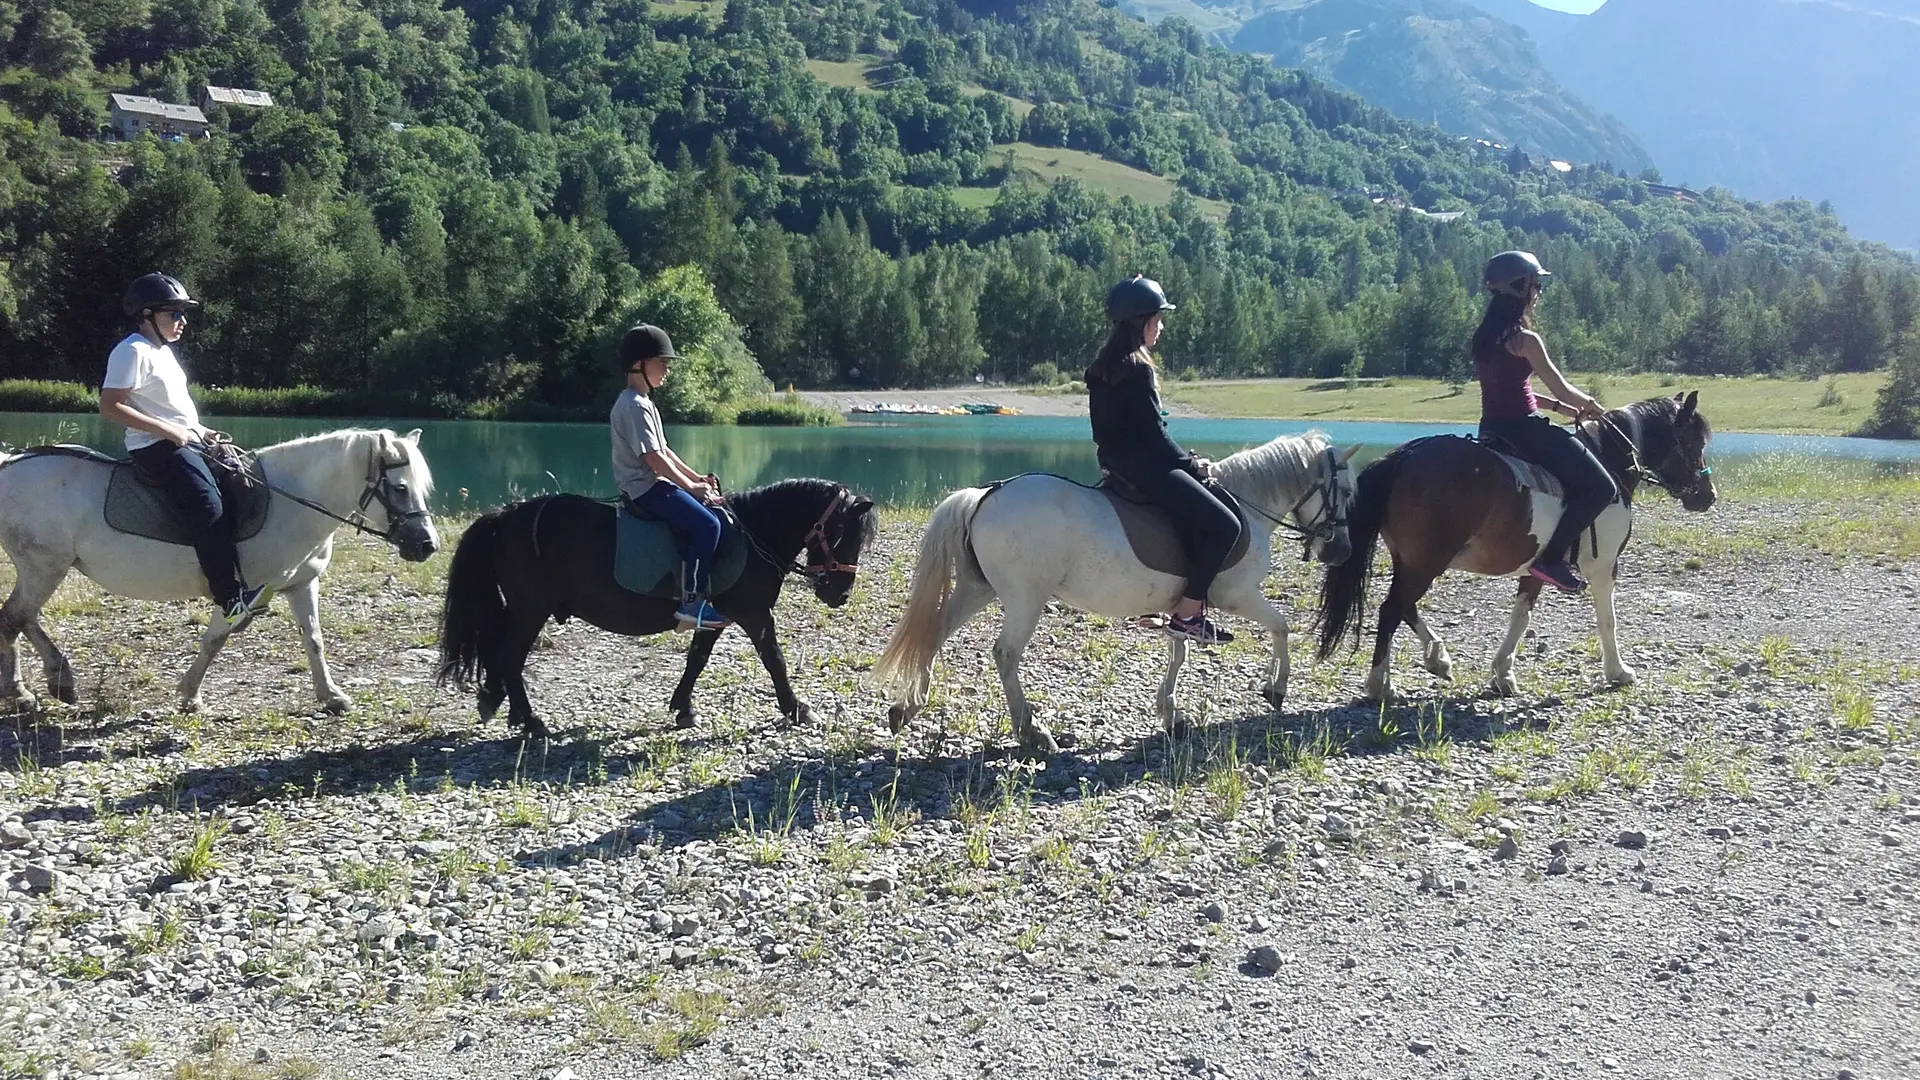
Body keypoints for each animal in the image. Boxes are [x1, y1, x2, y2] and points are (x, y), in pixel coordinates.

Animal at [0, 428, 439, 714]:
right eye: (400, 488)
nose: (427, 545)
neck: (291, 502)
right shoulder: (241, 590)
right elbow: (214, 640)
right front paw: (189, 694)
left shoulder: (301, 583)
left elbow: (313, 640)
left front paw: (331, 696)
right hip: (44, 566)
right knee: (15, 617)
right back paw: (29, 689)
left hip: (42, 567)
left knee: (20, 618)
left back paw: (50, 681)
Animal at [437, 476, 879, 734]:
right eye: (847, 534)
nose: (839, 594)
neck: (755, 531)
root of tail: (505, 515)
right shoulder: (754, 614)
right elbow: (775, 660)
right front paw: (797, 708)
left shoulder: (715, 617)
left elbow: (697, 659)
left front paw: (684, 708)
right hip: (532, 608)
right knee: (509, 655)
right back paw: (530, 721)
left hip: (523, 609)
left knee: (498, 652)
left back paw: (495, 701)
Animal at [879, 426, 1359, 749]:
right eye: (1348, 491)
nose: (1342, 552)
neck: (1246, 505)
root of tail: (986, 494)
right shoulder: (1238, 596)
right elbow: (1281, 627)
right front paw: (1276, 690)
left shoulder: (1182, 607)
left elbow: (1179, 652)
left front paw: (1170, 714)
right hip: (1024, 598)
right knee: (1006, 654)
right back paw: (1033, 731)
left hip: (980, 590)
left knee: (935, 633)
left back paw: (907, 708)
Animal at [1320, 390, 1712, 703]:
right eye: (1695, 442)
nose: (1707, 496)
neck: (1610, 464)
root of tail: (1404, 455)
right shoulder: (1603, 568)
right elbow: (1607, 620)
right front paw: (1618, 672)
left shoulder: (1538, 567)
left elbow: (1521, 617)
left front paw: (1503, 675)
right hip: (1426, 562)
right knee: (1391, 610)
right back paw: (1380, 685)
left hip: (1413, 561)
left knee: (1403, 607)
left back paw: (1436, 659)